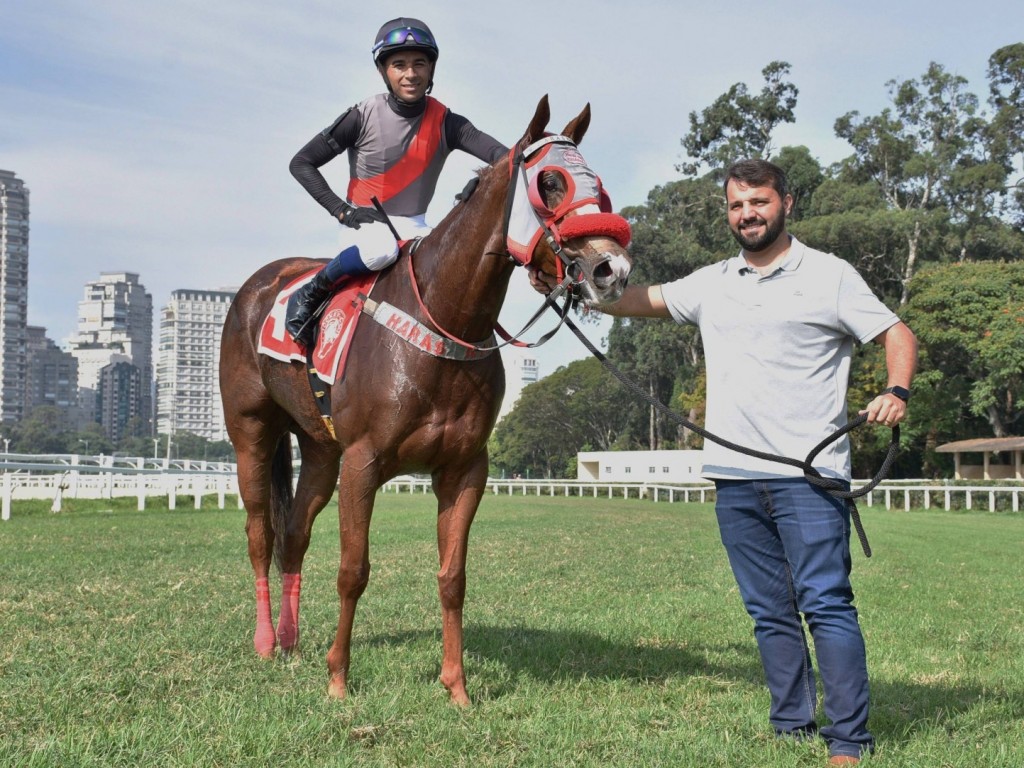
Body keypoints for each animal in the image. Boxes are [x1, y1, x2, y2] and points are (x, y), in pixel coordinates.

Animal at [219, 96, 630, 704]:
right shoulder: (363, 462)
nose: (613, 269)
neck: (444, 319)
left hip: (319, 450)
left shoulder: (464, 468)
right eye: (549, 182)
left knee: (293, 535)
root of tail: (261, 283)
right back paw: (268, 642)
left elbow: (452, 577)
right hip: (251, 430)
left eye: (598, 187)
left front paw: (456, 685)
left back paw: (292, 643)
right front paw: (338, 680)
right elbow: (353, 570)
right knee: (259, 533)